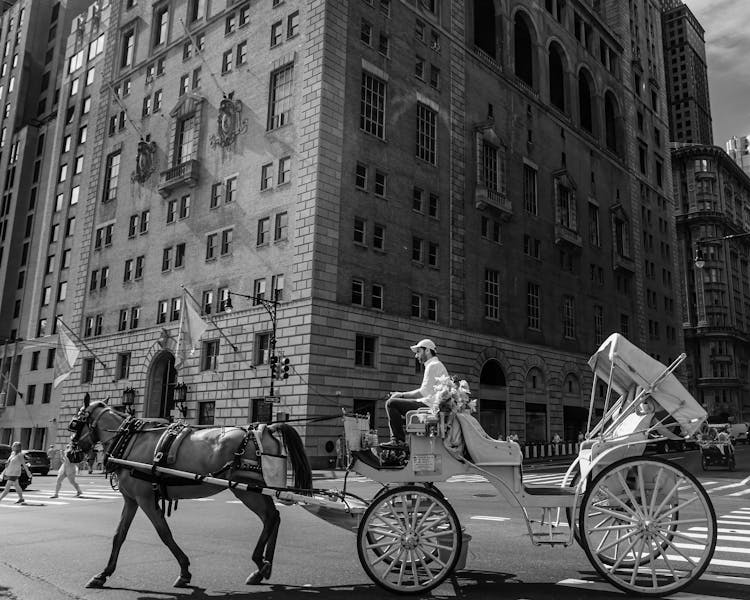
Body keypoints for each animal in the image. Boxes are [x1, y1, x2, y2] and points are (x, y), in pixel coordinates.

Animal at [64, 396, 312, 588]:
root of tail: (266, 427)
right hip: (255, 491)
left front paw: (184, 571)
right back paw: (265, 566)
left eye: (75, 424)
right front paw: (103, 574)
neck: (129, 441)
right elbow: (119, 535)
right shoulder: (131, 500)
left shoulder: (145, 499)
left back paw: (260, 565)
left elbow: (164, 534)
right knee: (274, 517)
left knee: (270, 517)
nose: (69, 453)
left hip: (247, 491)